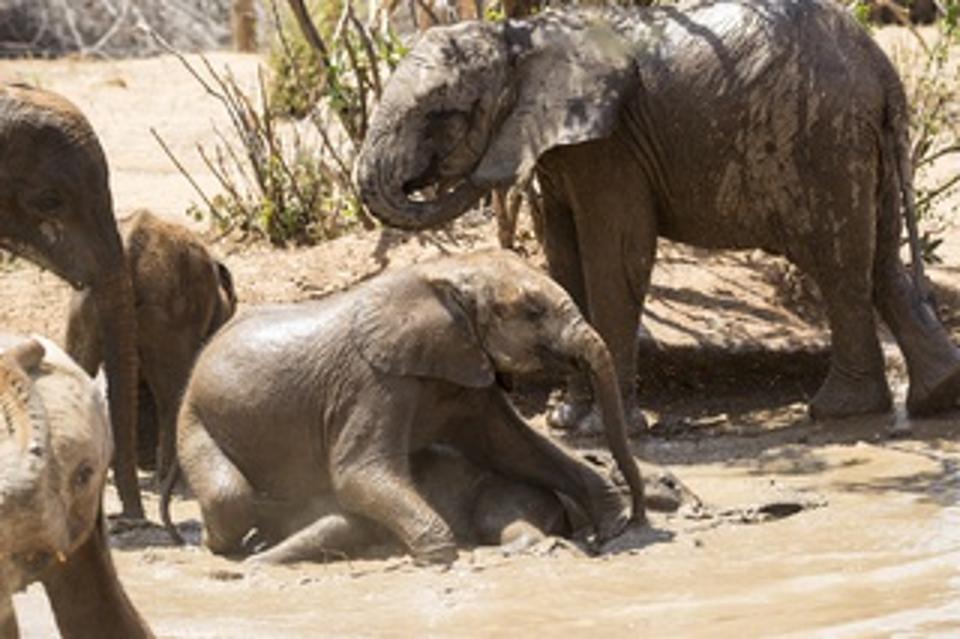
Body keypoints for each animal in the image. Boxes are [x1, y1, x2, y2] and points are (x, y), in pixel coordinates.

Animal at [173, 250, 645, 565]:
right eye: (533, 311)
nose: (636, 522)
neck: (446, 273)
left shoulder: (465, 369)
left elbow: (513, 448)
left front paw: (612, 519)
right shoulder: (373, 382)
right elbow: (359, 474)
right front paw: (439, 557)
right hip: (195, 417)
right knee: (228, 498)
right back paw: (216, 547)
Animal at [354, 0, 960, 432]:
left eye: (442, 113)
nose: (448, 179)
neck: (519, 40)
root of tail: (880, 67)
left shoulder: (610, 145)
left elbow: (615, 257)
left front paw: (601, 429)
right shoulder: (563, 148)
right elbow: (565, 258)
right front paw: (566, 419)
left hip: (822, 137)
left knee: (838, 264)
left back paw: (838, 411)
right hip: (858, 140)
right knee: (878, 260)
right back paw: (932, 396)